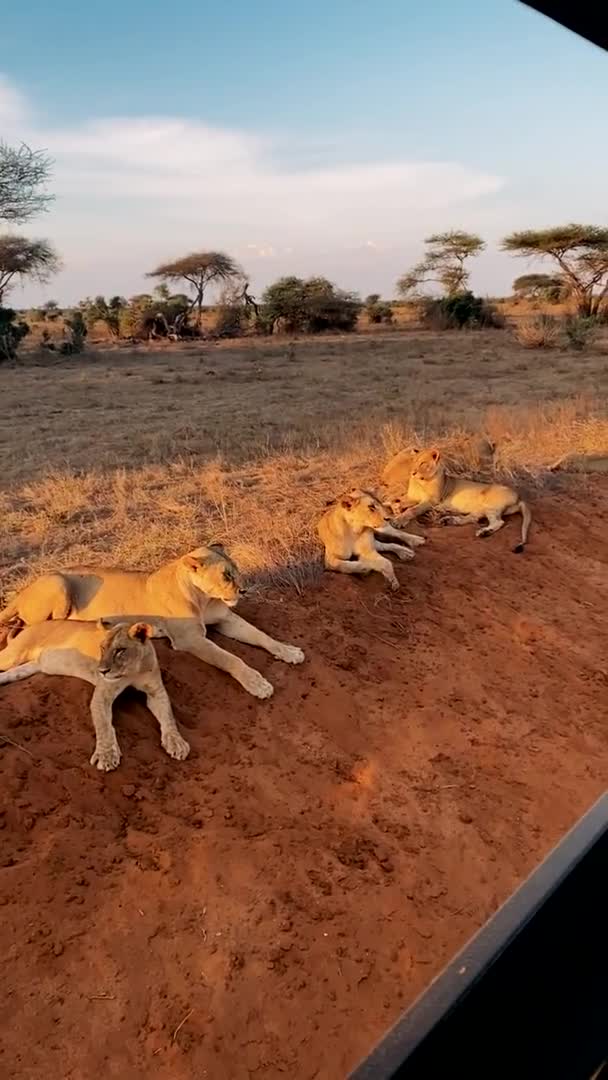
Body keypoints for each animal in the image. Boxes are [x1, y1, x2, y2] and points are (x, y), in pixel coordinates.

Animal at [0, 540, 304, 699]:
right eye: (226, 575)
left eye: (236, 571)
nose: (244, 590)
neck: (204, 598)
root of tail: (24, 589)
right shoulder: (190, 639)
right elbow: (230, 659)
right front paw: (257, 683)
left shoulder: (226, 619)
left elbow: (262, 636)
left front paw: (289, 651)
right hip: (58, 584)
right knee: (20, 629)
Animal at [0, 622, 190, 773]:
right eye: (102, 648)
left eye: (120, 650)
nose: (102, 671)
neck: (131, 671)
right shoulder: (102, 694)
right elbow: (103, 725)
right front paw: (106, 756)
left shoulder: (156, 692)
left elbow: (168, 717)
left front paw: (176, 743)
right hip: (12, 655)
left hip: (26, 668)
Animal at [393, 447, 531, 552]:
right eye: (413, 461)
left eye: (423, 463)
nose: (412, 472)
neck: (420, 482)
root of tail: (519, 496)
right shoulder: (412, 497)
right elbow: (396, 500)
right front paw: (396, 509)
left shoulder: (432, 501)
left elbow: (413, 510)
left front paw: (398, 520)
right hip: (481, 509)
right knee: (472, 518)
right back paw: (449, 520)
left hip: (490, 504)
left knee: (498, 522)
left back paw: (484, 532)